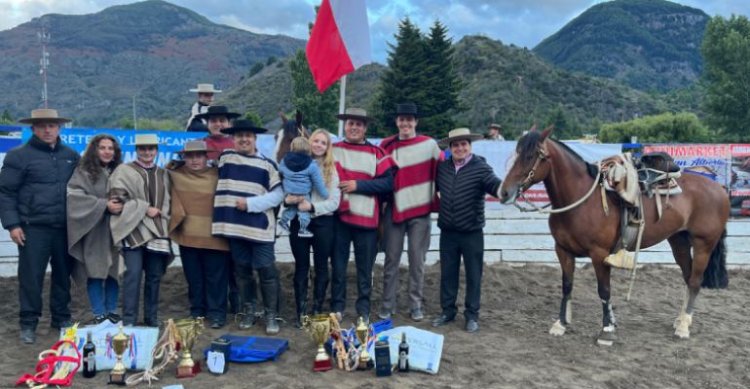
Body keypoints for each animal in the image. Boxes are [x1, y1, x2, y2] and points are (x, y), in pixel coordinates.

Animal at [500, 130, 728, 342]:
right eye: (516, 153)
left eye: (530, 156)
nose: (504, 192)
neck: (581, 200)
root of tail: (719, 187)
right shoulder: (563, 250)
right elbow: (567, 286)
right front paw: (560, 324)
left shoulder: (599, 253)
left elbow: (604, 290)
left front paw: (607, 330)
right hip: (679, 241)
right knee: (687, 277)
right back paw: (681, 320)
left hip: (703, 244)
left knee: (695, 281)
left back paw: (683, 328)